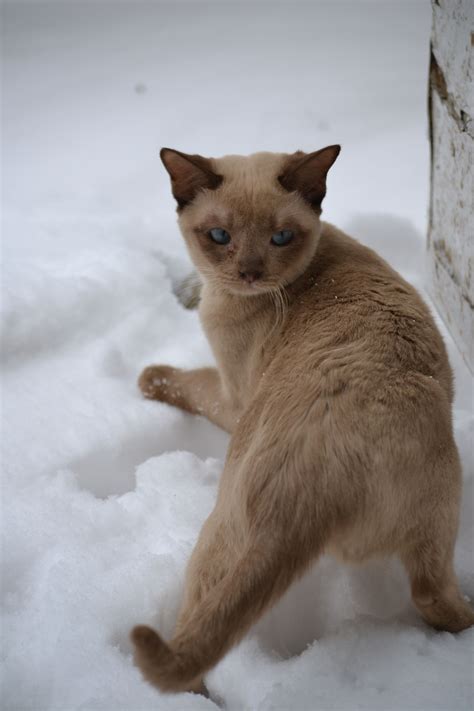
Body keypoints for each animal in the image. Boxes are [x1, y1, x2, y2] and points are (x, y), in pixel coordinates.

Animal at [131, 146, 474, 696]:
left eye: (281, 237)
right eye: (220, 236)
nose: (249, 272)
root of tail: (311, 487)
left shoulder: (232, 396)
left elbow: (188, 381)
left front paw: (146, 377)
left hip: (224, 530)